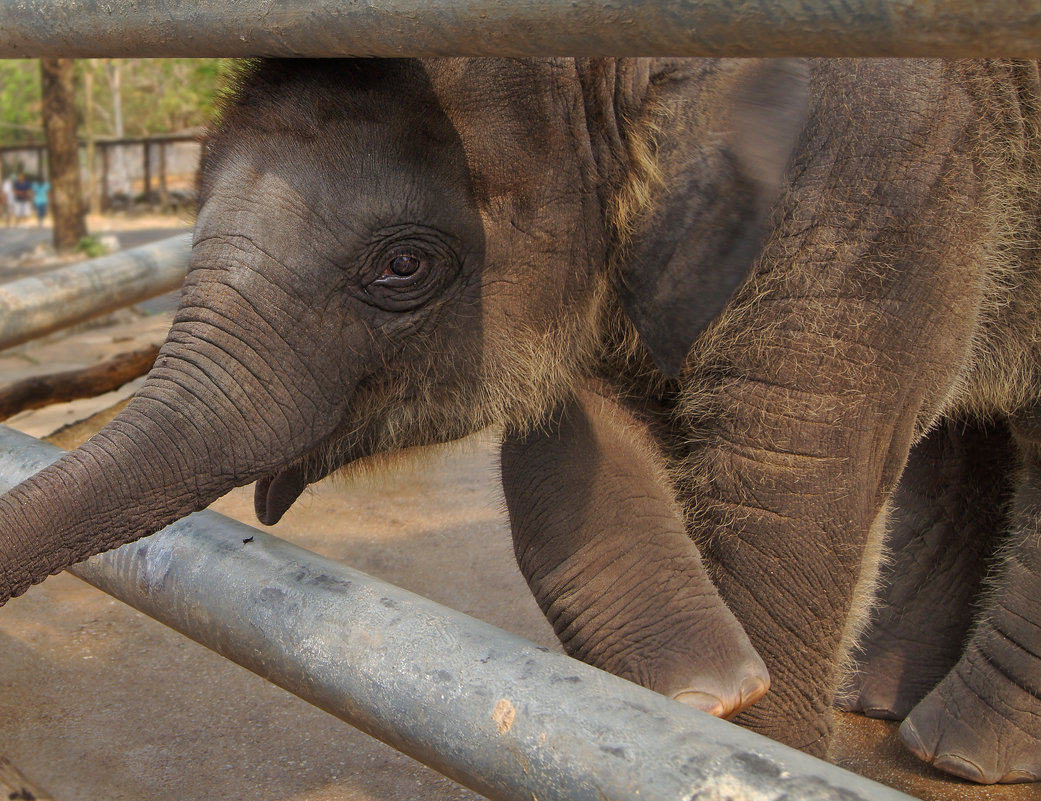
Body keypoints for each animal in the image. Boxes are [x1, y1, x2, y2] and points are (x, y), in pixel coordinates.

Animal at [2, 59, 1041, 783]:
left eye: (403, 266)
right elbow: (574, 441)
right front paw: (700, 695)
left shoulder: (876, 185)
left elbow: (789, 481)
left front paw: (748, 730)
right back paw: (886, 703)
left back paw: (954, 752)